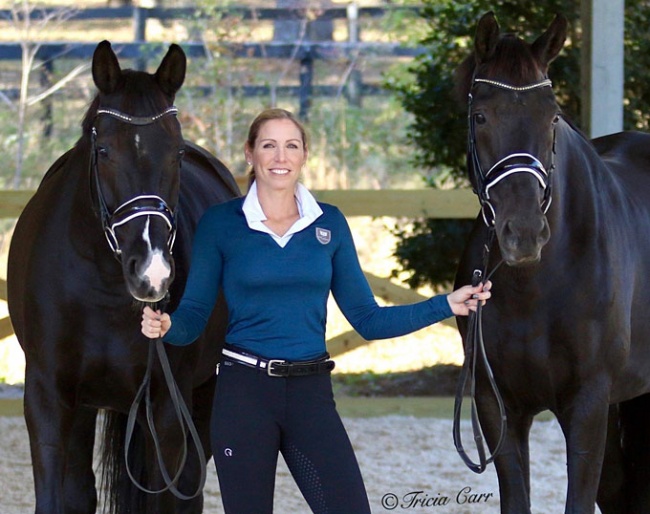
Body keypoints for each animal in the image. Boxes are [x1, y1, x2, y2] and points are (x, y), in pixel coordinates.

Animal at [6, 41, 239, 512]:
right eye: (104, 152)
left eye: (177, 153)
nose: (152, 271)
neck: (101, 287)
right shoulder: (48, 398)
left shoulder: (166, 408)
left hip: (202, 397)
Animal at [454, 11, 648, 512]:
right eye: (480, 115)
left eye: (553, 116)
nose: (523, 234)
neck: (536, 287)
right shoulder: (497, 407)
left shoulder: (588, 404)